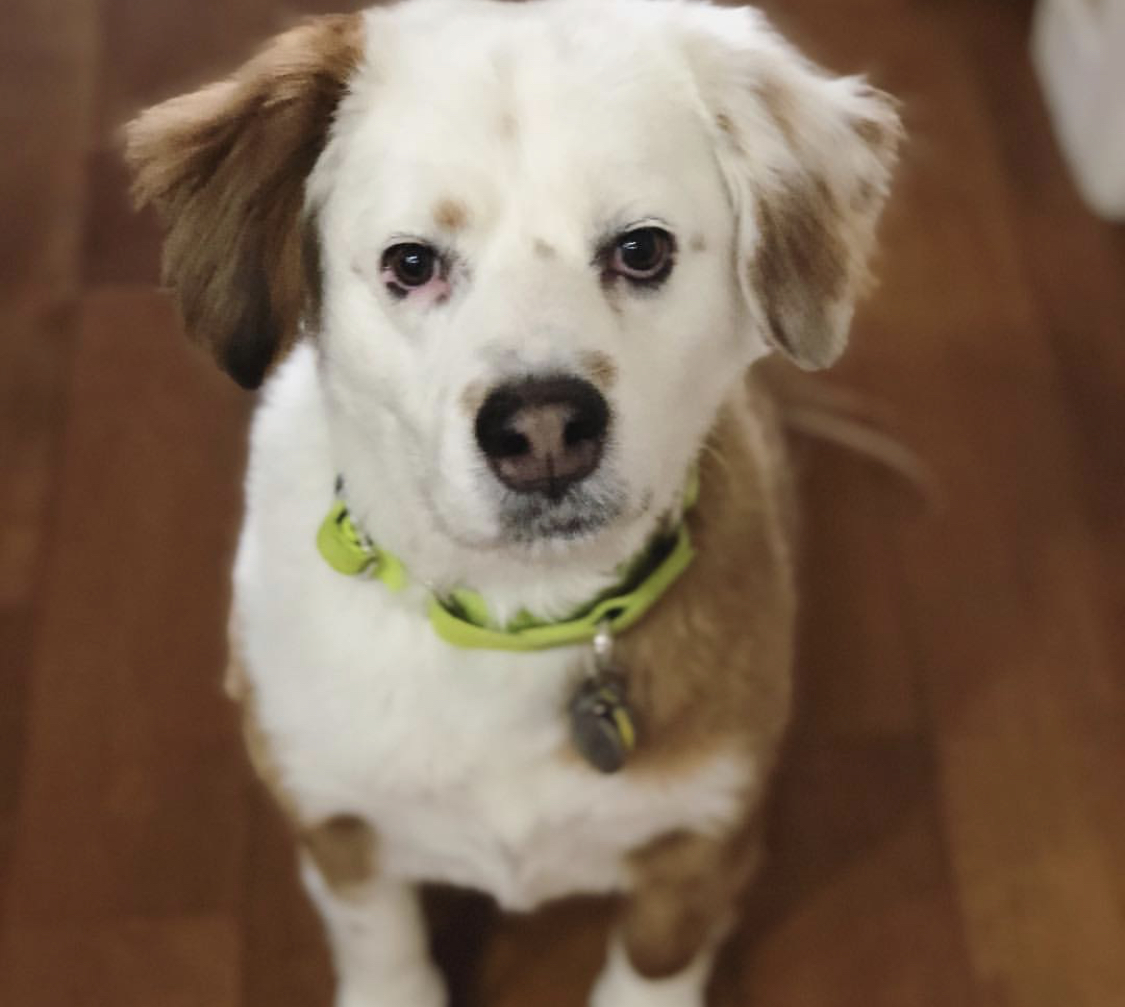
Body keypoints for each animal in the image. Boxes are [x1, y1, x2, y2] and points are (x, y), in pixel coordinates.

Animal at [123, 3, 900, 1003]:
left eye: (641, 250)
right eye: (411, 263)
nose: (542, 431)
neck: (513, 616)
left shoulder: (703, 840)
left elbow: (652, 967)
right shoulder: (335, 819)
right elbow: (382, 945)